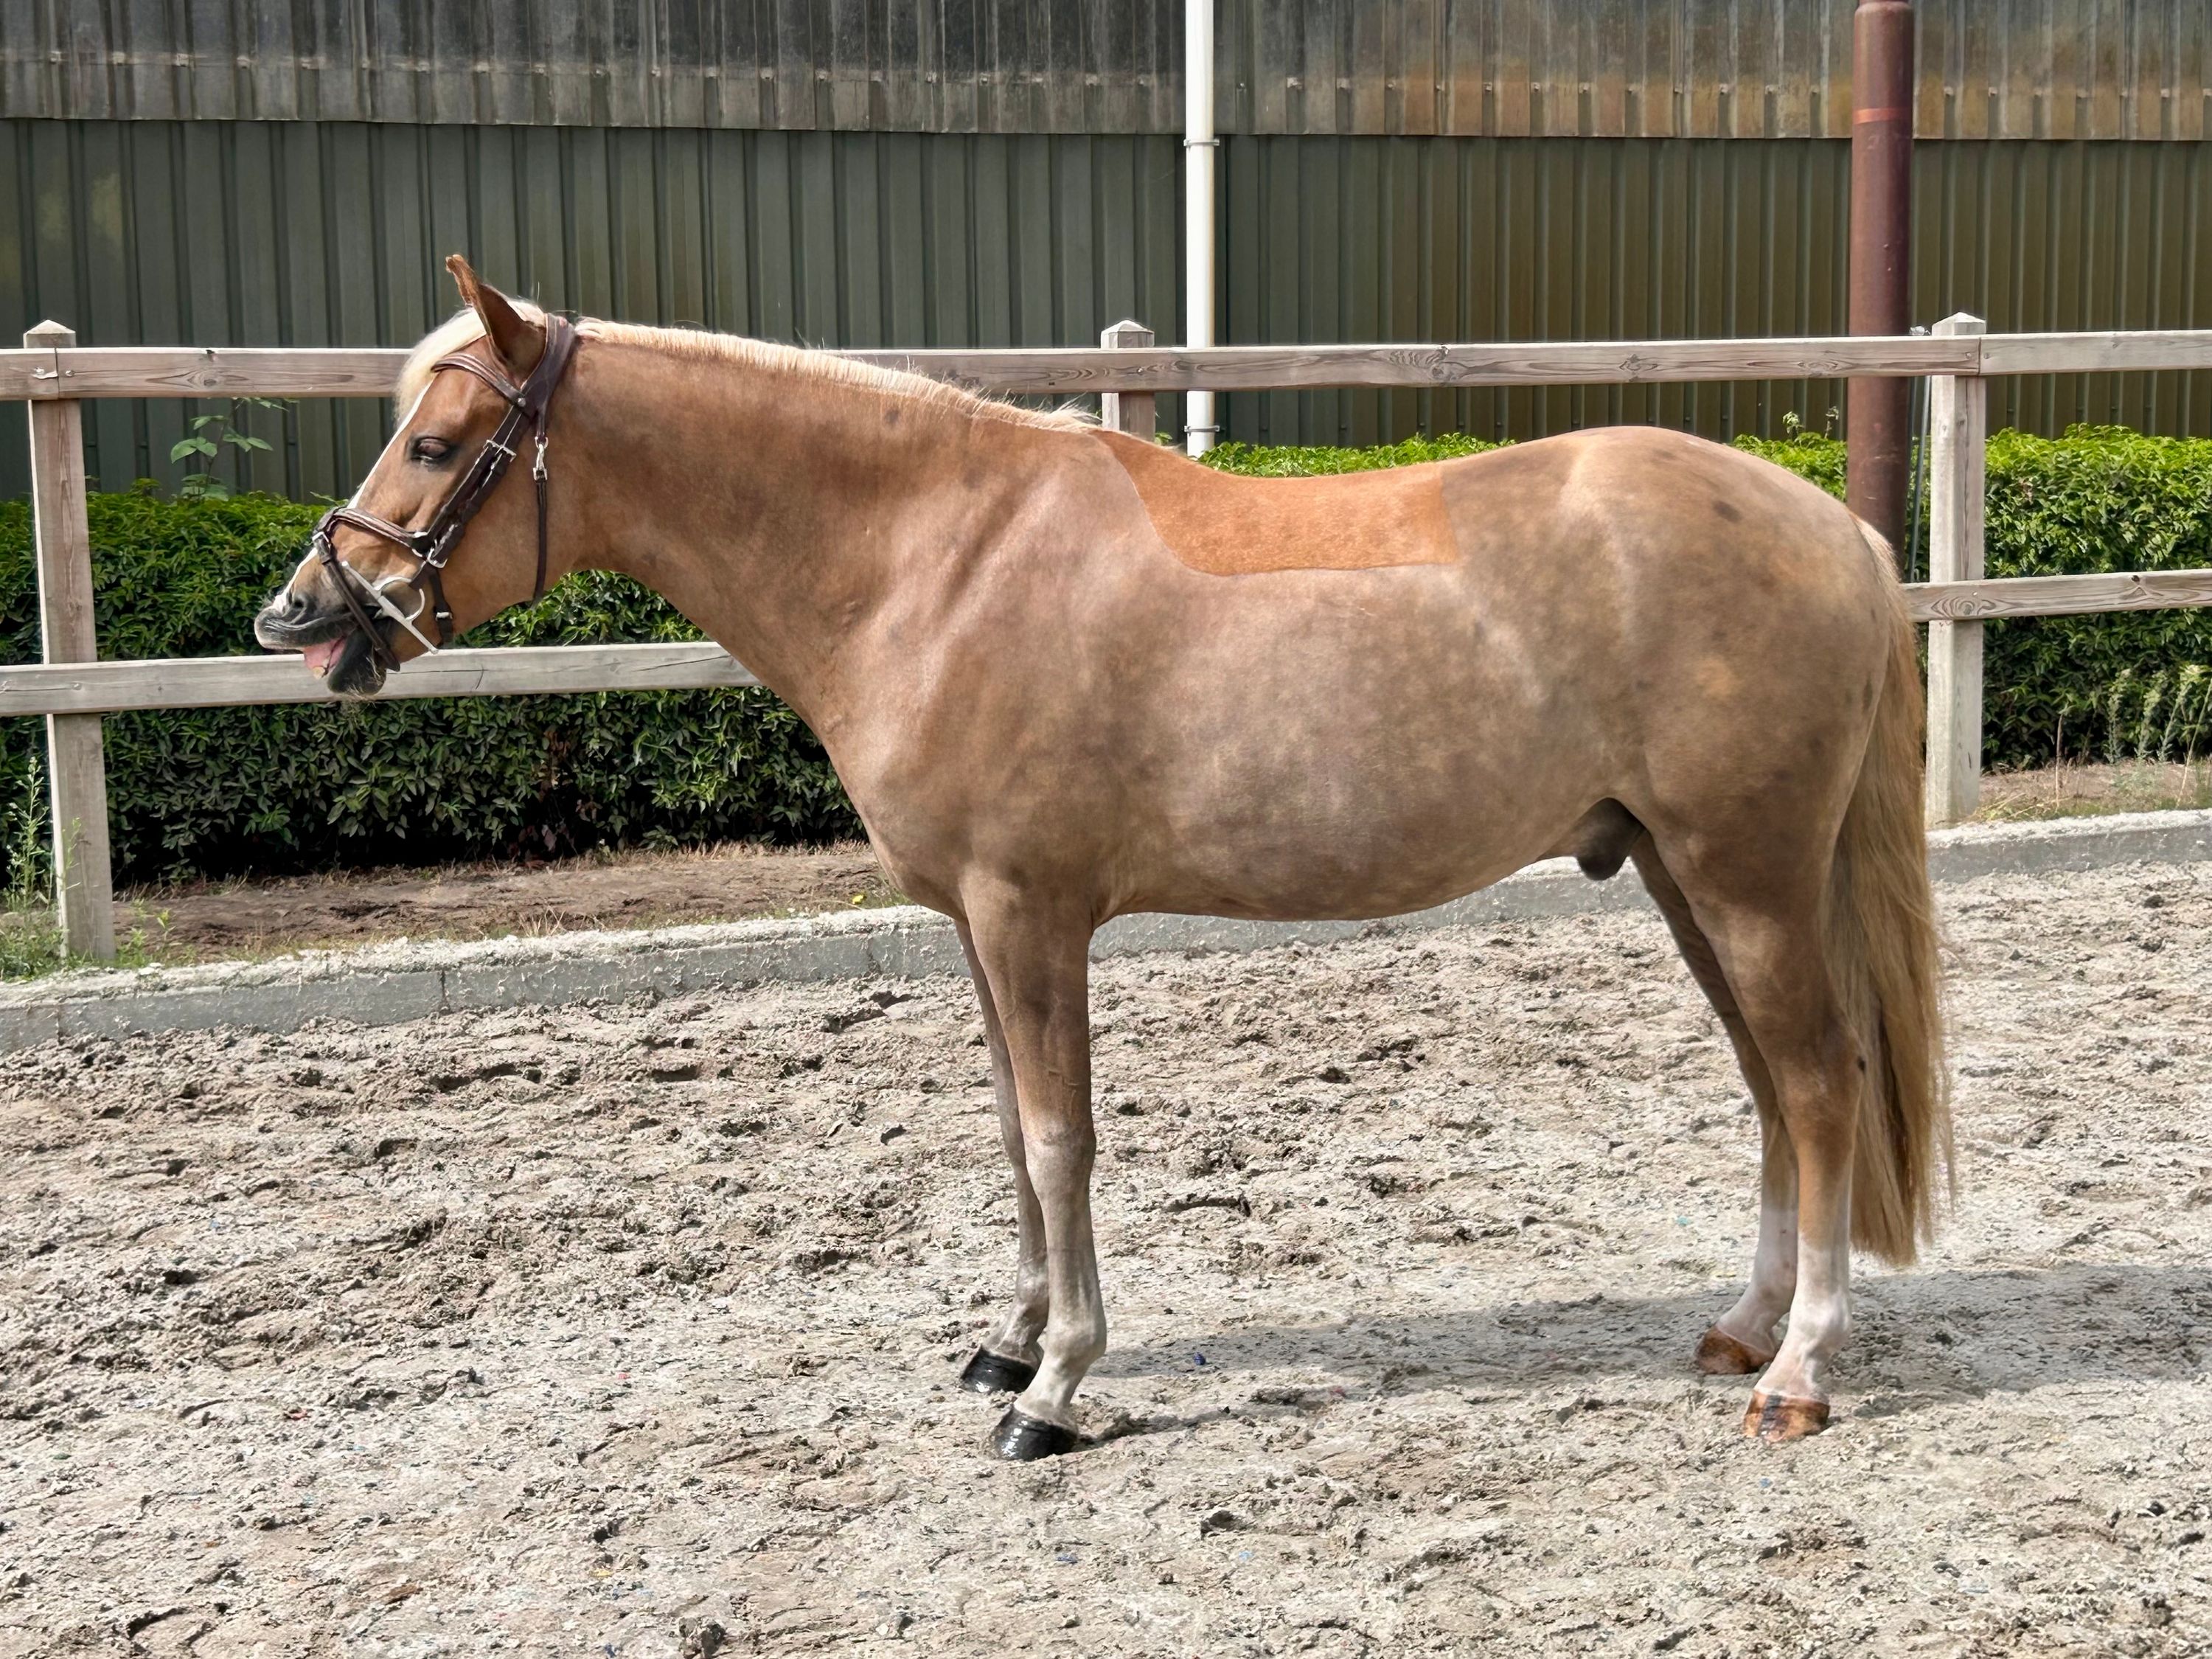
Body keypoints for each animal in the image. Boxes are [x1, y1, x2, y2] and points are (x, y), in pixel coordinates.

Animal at [255, 256, 1948, 1460]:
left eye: (437, 442)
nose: (300, 614)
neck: (938, 559)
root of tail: (1840, 534)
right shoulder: (975, 926)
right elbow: (1014, 1135)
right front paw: (1009, 1339)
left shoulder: (1032, 916)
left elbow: (1063, 1141)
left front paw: (1055, 1387)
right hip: (1682, 875)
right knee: (1773, 1090)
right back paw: (1746, 1326)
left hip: (1745, 878)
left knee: (1817, 1086)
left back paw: (1800, 1370)